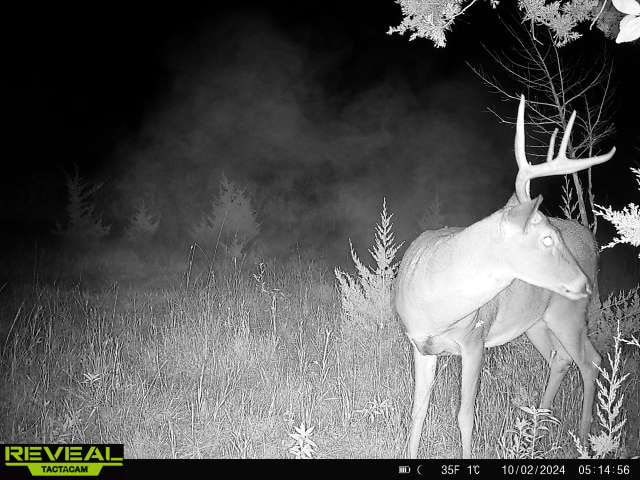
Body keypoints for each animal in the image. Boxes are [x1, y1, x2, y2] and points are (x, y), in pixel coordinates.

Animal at [394, 95, 616, 458]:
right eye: (547, 238)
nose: (583, 282)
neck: (437, 304)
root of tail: (591, 241)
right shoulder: (420, 344)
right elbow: (418, 410)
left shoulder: (475, 340)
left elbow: (465, 414)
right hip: (536, 322)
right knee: (561, 359)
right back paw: (534, 435)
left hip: (568, 314)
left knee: (590, 360)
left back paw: (583, 441)